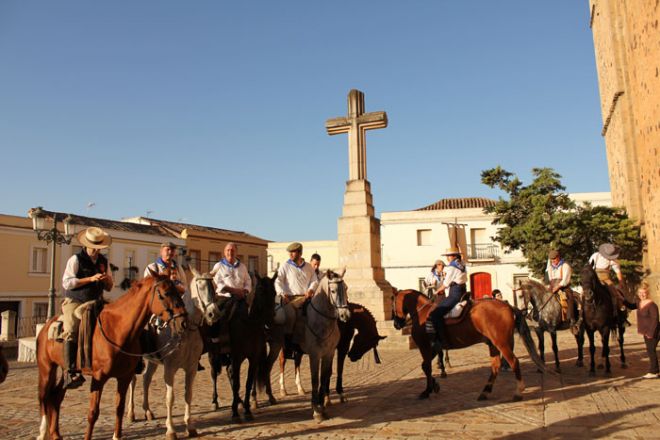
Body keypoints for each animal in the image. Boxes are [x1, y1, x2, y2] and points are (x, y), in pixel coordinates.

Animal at [37, 274, 187, 440]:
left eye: (178, 291)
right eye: (166, 293)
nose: (183, 321)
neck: (118, 330)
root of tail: (46, 326)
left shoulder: (124, 377)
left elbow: (119, 408)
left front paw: (117, 435)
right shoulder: (98, 378)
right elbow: (93, 412)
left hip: (65, 371)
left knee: (56, 397)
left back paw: (55, 433)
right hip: (46, 369)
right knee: (43, 397)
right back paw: (43, 432)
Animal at [126, 267, 221, 439]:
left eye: (215, 288)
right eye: (200, 286)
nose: (213, 314)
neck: (186, 330)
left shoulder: (191, 368)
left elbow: (188, 394)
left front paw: (190, 425)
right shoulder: (170, 369)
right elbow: (170, 398)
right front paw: (170, 429)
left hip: (153, 361)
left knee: (146, 379)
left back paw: (147, 411)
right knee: (133, 381)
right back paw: (131, 413)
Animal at [258, 269, 350, 421]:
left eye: (346, 288)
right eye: (333, 290)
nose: (345, 315)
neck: (321, 321)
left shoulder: (329, 354)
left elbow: (324, 379)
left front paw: (322, 407)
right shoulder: (315, 355)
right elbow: (315, 380)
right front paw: (316, 410)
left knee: (270, 367)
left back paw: (273, 396)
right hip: (277, 346)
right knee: (270, 365)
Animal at [392, 289, 545, 401]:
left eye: (393, 302)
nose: (396, 324)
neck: (422, 313)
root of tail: (508, 306)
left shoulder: (425, 347)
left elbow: (426, 367)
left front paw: (427, 390)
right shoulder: (434, 348)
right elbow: (426, 366)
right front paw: (434, 384)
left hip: (501, 343)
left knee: (513, 362)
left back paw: (518, 392)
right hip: (493, 344)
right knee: (495, 366)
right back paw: (485, 392)